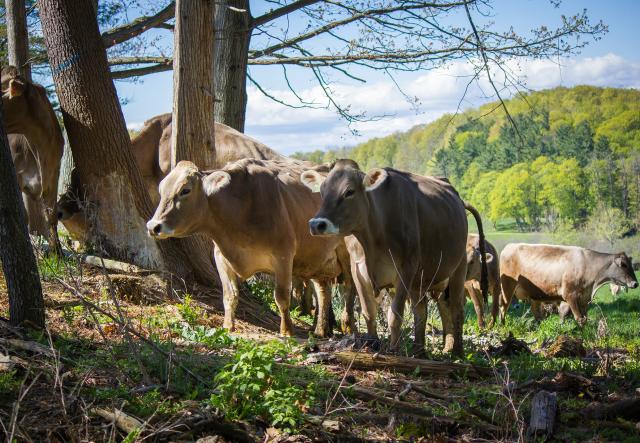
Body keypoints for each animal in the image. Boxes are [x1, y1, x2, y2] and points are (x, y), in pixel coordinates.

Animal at [146, 161, 356, 338]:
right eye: (162, 189)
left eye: (185, 190)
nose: (153, 226)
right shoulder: (221, 258)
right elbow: (229, 295)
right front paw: (227, 326)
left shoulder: (283, 255)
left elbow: (281, 296)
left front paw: (286, 331)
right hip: (319, 258)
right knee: (323, 291)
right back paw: (320, 330)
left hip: (348, 255)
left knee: (349, 290)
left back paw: (349, 326)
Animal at [502, 243, 636, 326]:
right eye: (623, 265)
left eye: (631, 264)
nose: (635, 283)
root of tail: (508, 247)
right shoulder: (570, 295)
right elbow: (579, 318)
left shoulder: (584, 299)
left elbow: (581, 318)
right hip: (507, 289)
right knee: (503, 309)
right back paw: (502, 326)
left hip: (535, 296)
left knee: (537, 314)